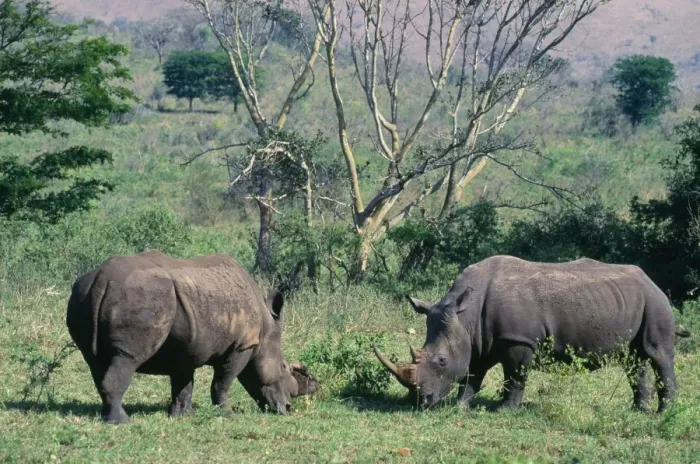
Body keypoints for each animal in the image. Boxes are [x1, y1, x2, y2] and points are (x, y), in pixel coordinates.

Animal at [66, 250, 318, 424]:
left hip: (81, 294)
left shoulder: (187, 345)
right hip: (140, 296)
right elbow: (222, 382)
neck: (265, 331)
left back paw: (106, 416)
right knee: (126, 357)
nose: (288, 409)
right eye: (284, 367)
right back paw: (122, 421)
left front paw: (183, 415)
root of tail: (101, 279)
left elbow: (184, 381)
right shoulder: (242, 346)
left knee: (95, 361)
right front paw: (227, 414)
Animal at [375, 256, 691, 412]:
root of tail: (652, 281)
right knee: (634, 360)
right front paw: (460, 407)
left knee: (657, 354)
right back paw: (638, 410)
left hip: (655, 303)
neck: (466, 316)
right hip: (632, 301)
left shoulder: (518, 340)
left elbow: (514, 376)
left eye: (441, 361)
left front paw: (505, 411)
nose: (420, 402)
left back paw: (663, 414)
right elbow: (472, 375)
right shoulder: (478, 341)